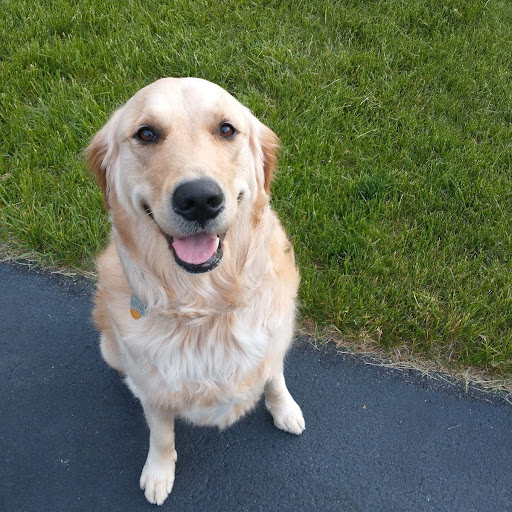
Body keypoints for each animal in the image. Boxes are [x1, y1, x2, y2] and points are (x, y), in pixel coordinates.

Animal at [86, 77, 305, 505]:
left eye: (226, 129)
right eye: (147, 134)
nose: (200, 199)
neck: (205, 304)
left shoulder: (275, 339)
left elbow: (274, 376)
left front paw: (284, 408)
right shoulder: (154, 390)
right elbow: (161, 434)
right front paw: (158, 472)